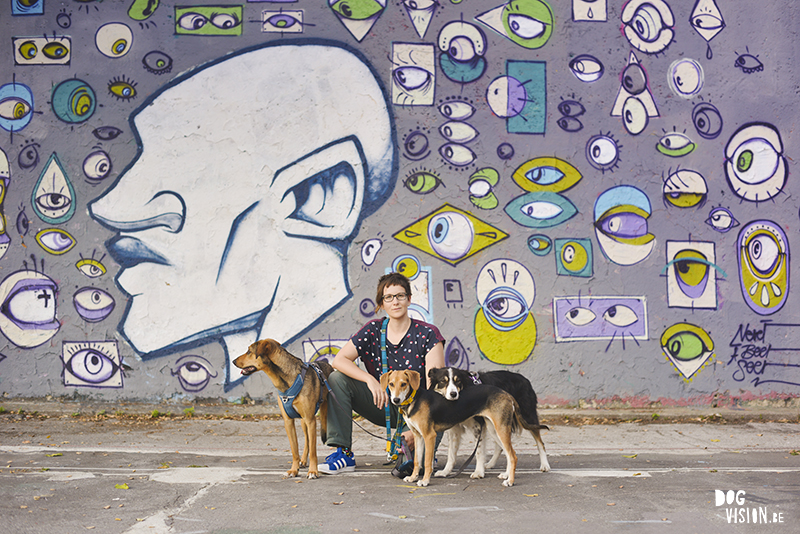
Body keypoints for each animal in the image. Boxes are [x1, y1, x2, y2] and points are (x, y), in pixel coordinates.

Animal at [233, 342, 332, 484]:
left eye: (249, 351)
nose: (233, 361)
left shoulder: (310, 420)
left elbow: (314, 451)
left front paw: (313, 471)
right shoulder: (289, 422)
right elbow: (294, 450)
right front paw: (294, 470)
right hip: (304, 421)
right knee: (307, 440)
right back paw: (303, 460)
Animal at [382, 370, 524, 488]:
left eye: (403, 384)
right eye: (391, 384)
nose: (396, 399)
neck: (414, 400)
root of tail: (506, 394)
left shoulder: (429, 436)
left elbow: (427, 462)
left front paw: (425, 481)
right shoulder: (418, 436)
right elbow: (417, 461)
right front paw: (412, 478)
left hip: (501, 429)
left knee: (513, 456)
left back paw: (510, 481)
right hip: (494, 430)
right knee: (509, 453)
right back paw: (506, 475)